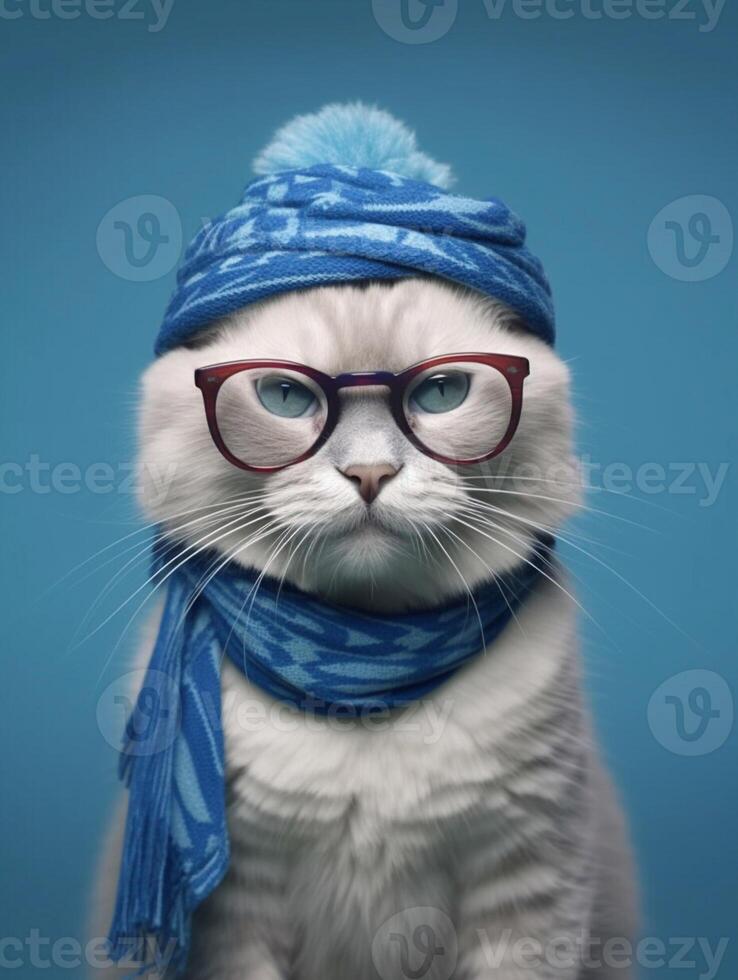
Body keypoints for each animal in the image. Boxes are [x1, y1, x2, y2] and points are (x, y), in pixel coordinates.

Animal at [90, 276, 632, 980]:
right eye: (285, 398)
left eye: (441, 393)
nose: (370, 474)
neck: (359, 664)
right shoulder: (234, 913)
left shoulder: (529, 888)